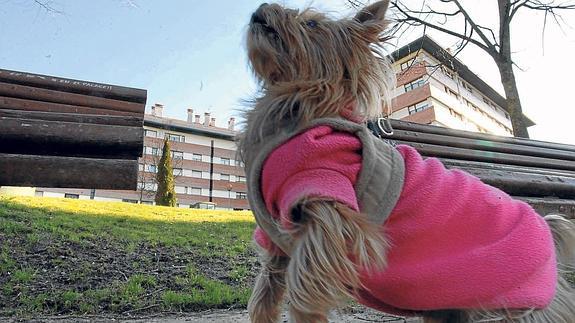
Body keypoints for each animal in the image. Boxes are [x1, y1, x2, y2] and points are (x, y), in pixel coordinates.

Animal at [236, 1, 572, 322]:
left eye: (311, 24)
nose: (261, 8)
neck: (296, 104)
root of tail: (547, 229)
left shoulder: (327, 201)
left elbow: (305, 287)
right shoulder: (279, 235)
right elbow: (266, 289)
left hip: (526, 307)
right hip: (447, 309)